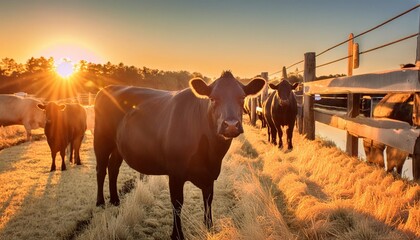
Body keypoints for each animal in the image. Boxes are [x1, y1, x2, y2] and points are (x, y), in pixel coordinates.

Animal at [94, 71, 266, 240]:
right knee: (101, 170)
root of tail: (107, 88)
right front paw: (177, 234)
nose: (231, 125)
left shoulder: (210, 174)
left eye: (242, 97)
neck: (211, 154)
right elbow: (177, 203)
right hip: (101, 140)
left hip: (118, 147)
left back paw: (115, 200)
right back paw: (100, 202)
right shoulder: (176, 173)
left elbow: (208, 199)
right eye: (212, 99)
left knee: (113, 168)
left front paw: (209, 227)